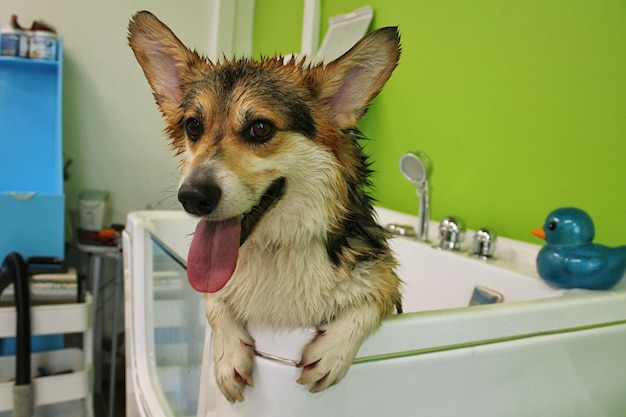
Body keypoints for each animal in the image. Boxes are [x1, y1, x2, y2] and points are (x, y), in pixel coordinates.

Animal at [128, 11, 400, 404]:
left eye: (260, 128)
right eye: (193, 126)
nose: (192, 197)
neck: (274, 248)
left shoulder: (381, 276)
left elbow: (370, 300)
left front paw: (331, 352)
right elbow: (213, 299)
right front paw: (228, 356)